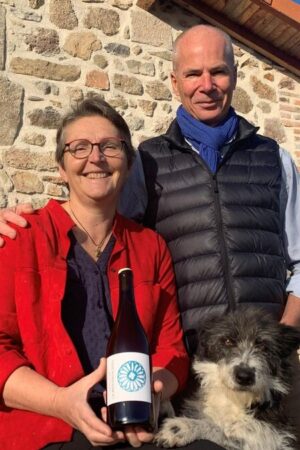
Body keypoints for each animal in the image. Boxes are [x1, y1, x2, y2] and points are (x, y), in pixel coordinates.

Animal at [155, 308, 300, 450]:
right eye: (228, 341)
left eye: (263, 346)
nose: (244, 376)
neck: (234, 399)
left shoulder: (269, 440)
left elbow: (222, 431)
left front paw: (184, 427)